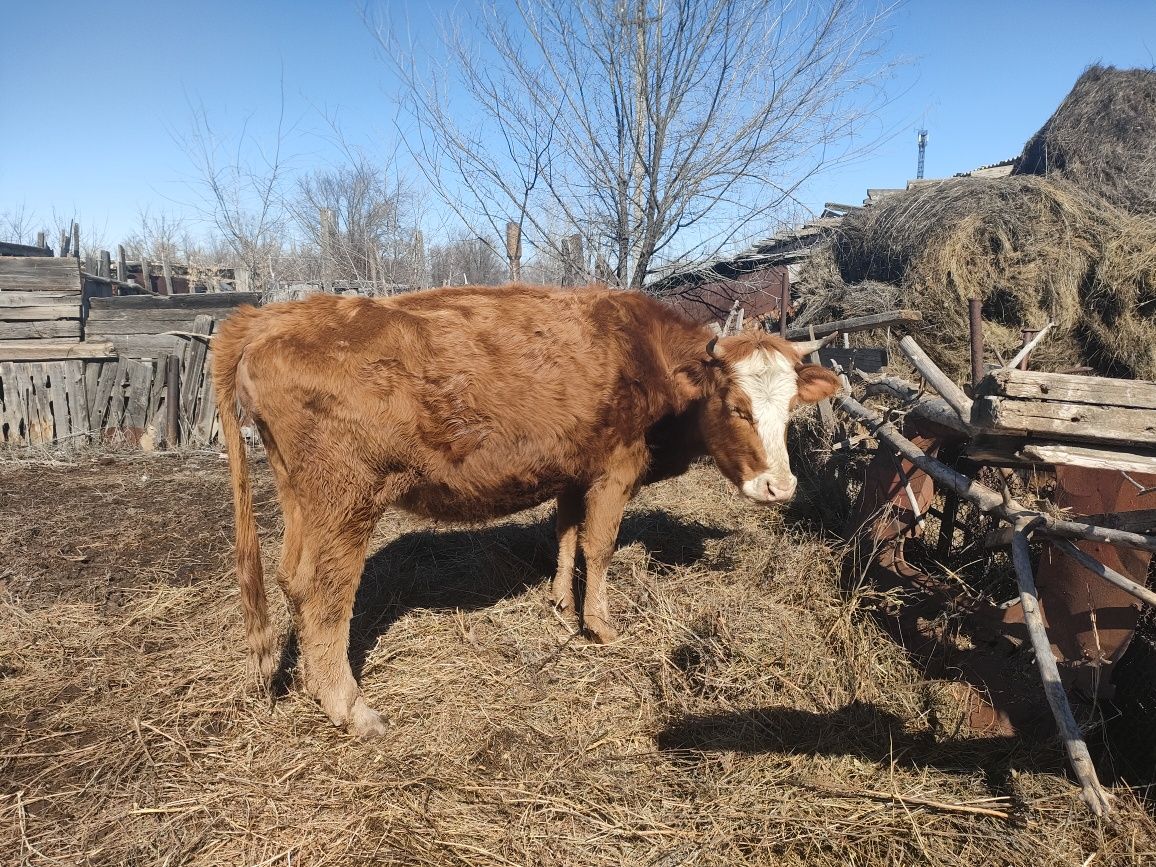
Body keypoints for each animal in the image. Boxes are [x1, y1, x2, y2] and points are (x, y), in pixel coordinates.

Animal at [210, 283, 841, 735]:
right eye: (736, 406)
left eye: (790, 407)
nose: (780, 487)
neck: (646, 353)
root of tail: (274, 314)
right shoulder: (615, 468)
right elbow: (599, 544)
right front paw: (602, 626)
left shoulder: (572, 468)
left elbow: (565, 534)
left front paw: (561, 603)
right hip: (345, 499)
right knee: (324, 592)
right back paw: (349, 707)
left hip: (300, 495)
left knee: (291, 579)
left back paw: (308, 684)